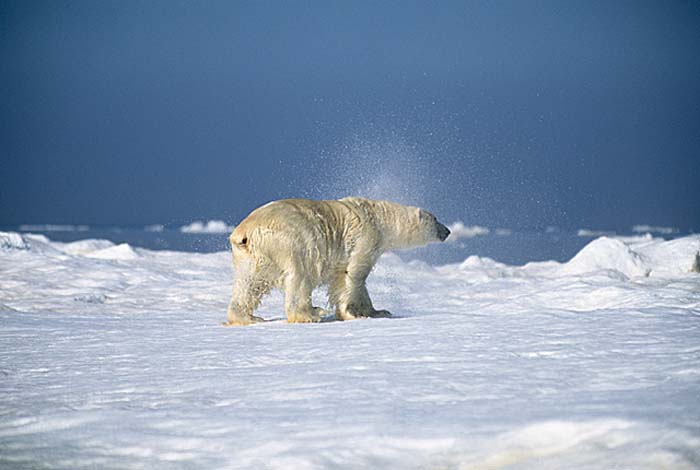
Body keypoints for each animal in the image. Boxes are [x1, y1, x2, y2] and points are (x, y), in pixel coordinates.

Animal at [227, 196, 452, 324]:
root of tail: (245, 232)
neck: (378, 216)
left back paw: (247, 317)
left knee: (249, 285)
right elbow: (352, 276)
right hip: (291, 241)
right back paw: (311, 314)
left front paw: (379, 311)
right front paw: (352, 314)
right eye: (436, 219)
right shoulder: (365, 238)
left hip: (252, 256)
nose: (448, 231)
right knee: (299, 277)